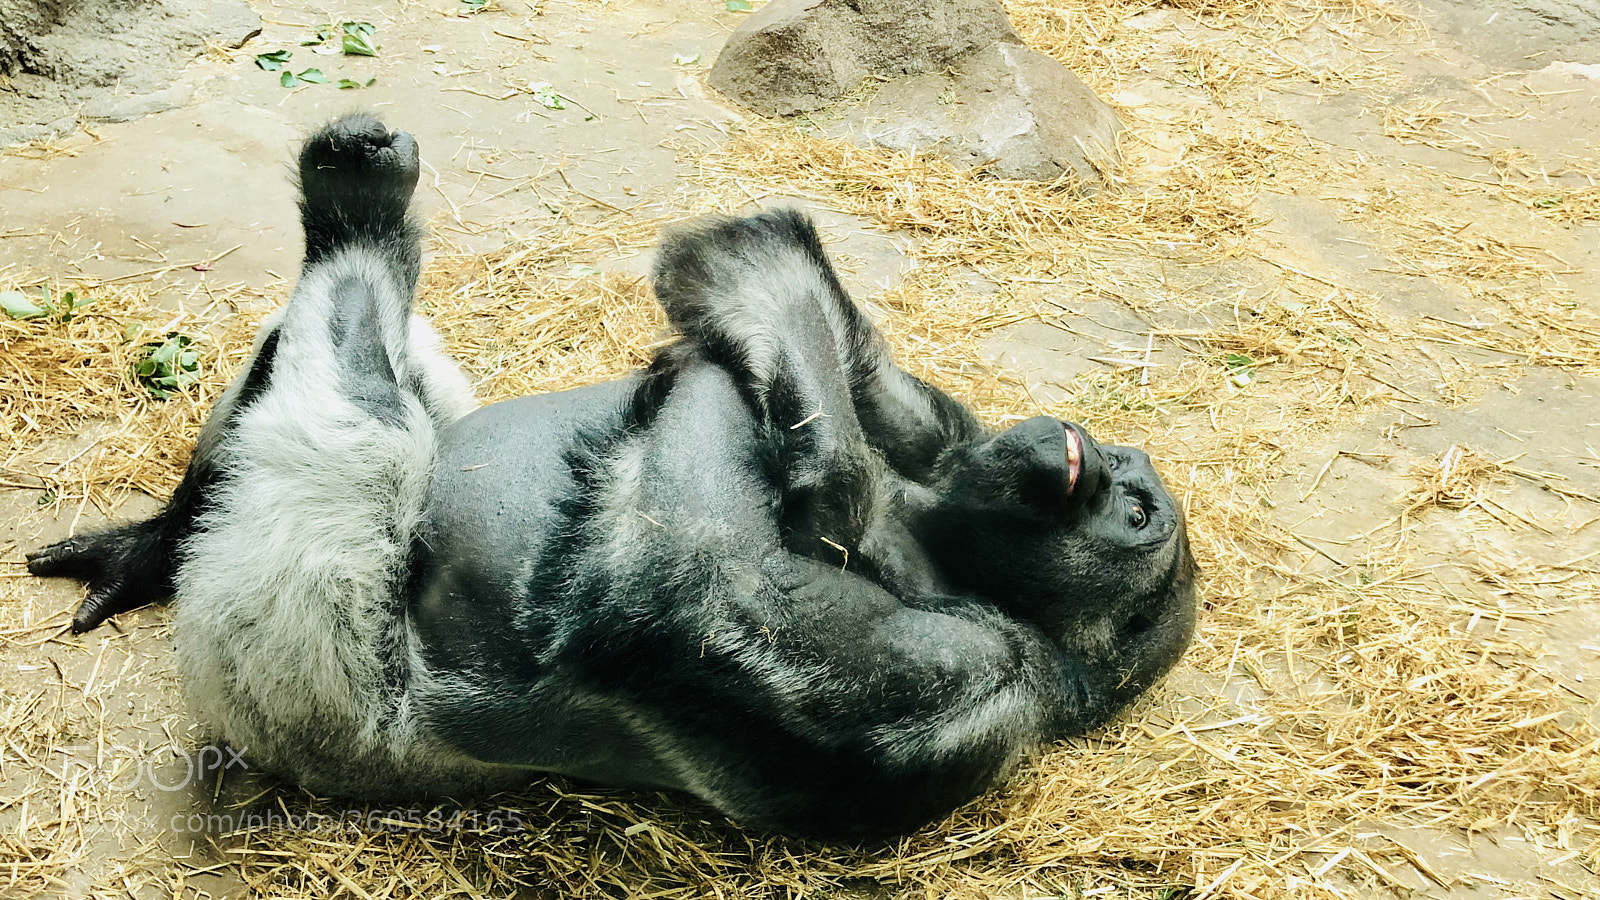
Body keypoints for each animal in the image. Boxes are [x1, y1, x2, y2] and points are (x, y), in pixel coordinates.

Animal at [30, 113, 1197, 843]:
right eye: (1127, 482)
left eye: (1138, 514)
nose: (1090, 463)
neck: (950, 542)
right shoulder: (945, 427)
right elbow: (769, 270)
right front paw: (826, 442)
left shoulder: (981, 677)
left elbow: (679, 589)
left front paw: (812, 475)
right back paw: (155, 543)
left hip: (289, 653)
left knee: (354, 394)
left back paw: (355, 218)